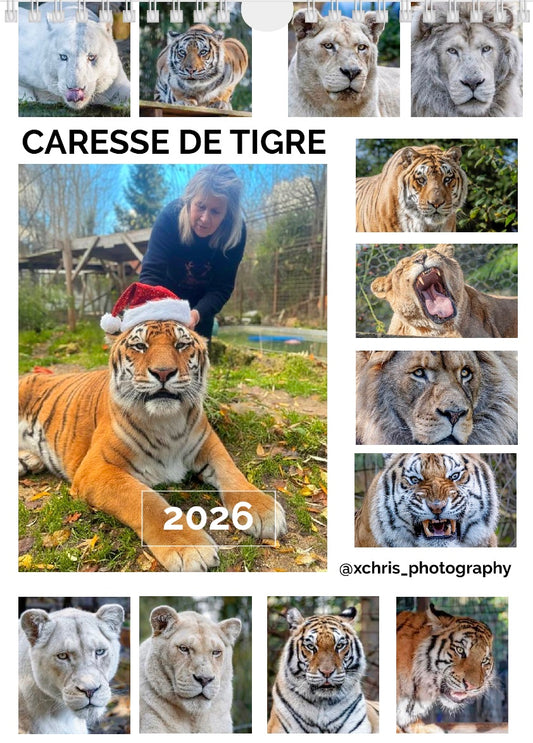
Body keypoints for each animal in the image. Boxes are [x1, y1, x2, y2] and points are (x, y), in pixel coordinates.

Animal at [18, 320, 286, 572]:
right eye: (140, 346)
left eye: (181, 344)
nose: (163, 372)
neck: (167, 423)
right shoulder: (96, 468)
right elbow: (145, 500)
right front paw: (191, 547)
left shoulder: (208, 443)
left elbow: (231, 471)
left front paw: (262, 510)